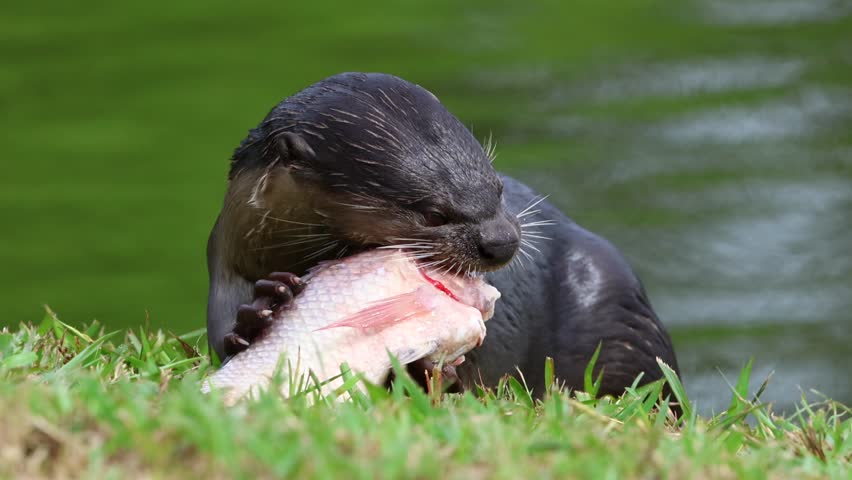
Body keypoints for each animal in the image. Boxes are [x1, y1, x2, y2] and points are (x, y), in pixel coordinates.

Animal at [207, 72, 680, 401]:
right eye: (433, 212)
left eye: (497, 187)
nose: (502, 242)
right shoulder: (226, 262)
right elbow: (221, 337)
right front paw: (261, 308)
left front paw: (428, 372)